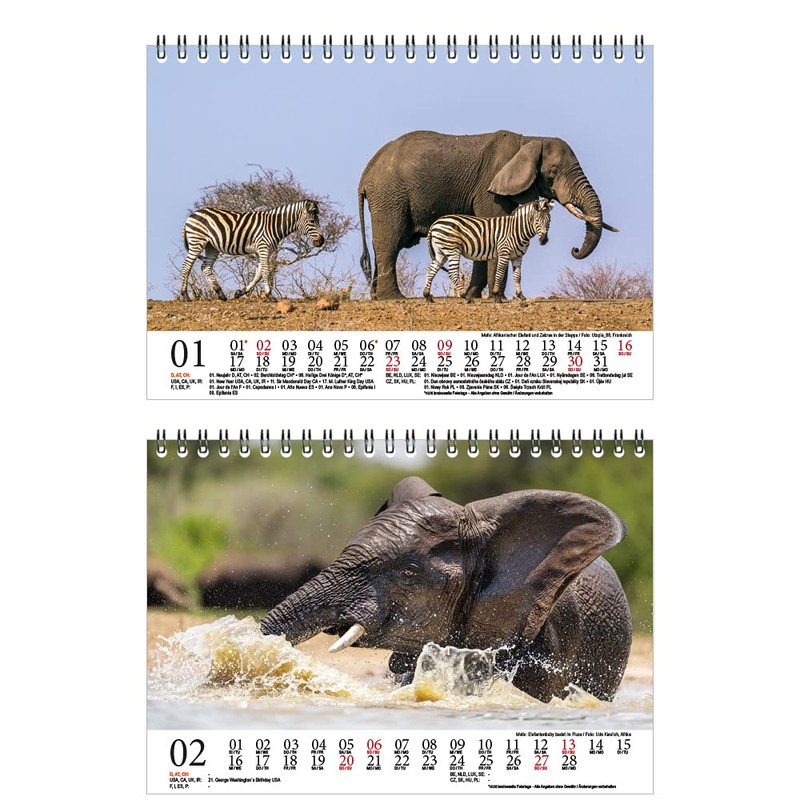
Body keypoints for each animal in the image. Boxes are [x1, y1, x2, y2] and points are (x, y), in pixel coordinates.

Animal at [357, 130, 619, 300]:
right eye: (553, 171)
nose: (574, 250)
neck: (529, 140)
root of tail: (366, 173)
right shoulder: (490, 188)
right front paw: (496, 298)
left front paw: (474, 295)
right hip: (390, 194)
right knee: (390, 242)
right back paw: (393, 298)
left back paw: (377, 296)